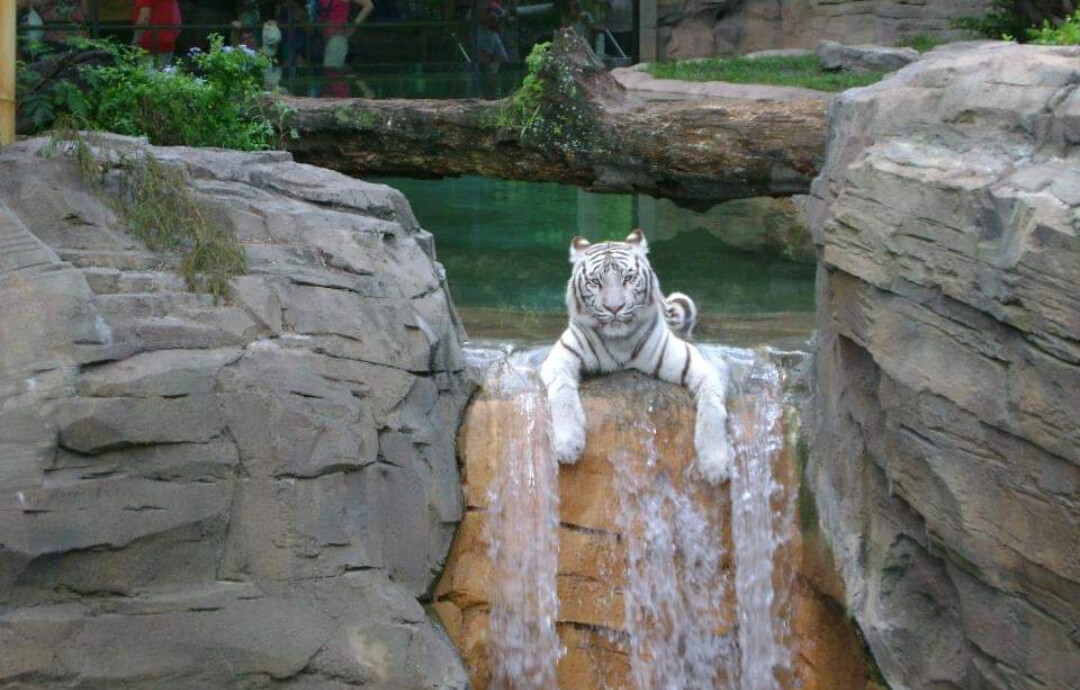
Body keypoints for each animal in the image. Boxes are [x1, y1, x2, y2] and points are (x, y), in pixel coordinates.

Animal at [539, 229, 733, 483]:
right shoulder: (561, 357)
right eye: (595, 282)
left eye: (628, 278)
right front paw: (568, 444)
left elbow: (713, 408)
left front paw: (715, 464)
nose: (614, 308)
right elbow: (563, 395)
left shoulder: (697, 363)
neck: (620, 341)